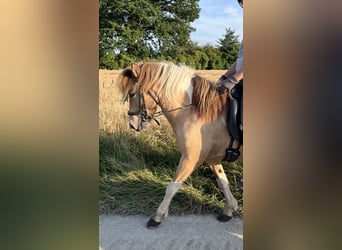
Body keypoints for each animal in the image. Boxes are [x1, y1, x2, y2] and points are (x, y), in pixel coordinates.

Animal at [116, 61, 239, 229]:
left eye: (132, 94)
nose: (132, 125)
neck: (195, 112)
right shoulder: (212, 157)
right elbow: (223, 182)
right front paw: (229, 209)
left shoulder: (190, 158)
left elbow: (172, 187)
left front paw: (158, 217)